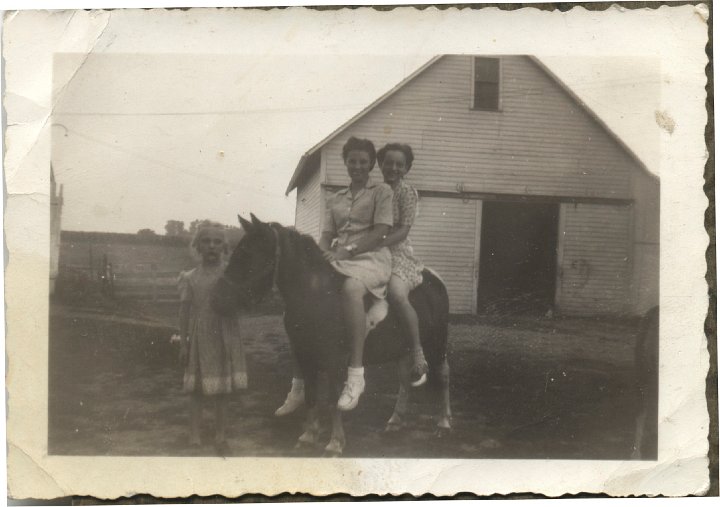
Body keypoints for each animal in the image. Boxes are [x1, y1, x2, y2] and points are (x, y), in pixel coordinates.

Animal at [211, 214, 452, 456]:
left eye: (248, 255)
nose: (219, 299)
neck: (317, 294)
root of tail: (435, 280)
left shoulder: (333, 359)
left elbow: (334, 398)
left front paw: (335, 442)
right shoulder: (305, 354)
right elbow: (311, 394)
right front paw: (309, 435)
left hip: (437, 343)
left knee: (442, 375)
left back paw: (443, 423)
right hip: (402, 349)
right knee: (403, 380)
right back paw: (395, 421)